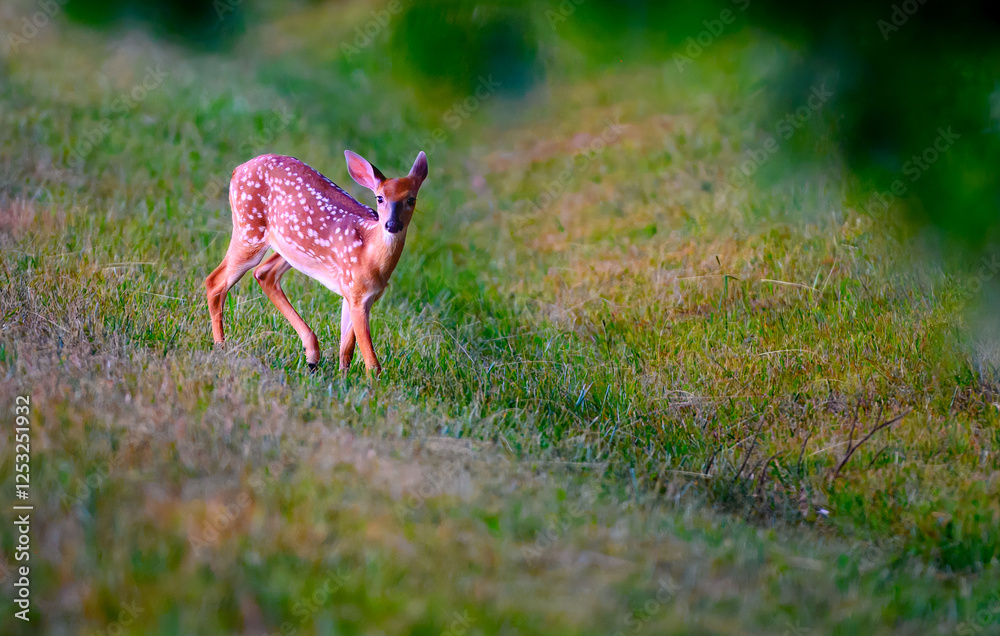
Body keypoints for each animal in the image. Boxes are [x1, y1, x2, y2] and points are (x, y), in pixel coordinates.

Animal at [205, 150, 428, 376]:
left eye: (411, 199)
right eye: (380, 198)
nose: (392, 224)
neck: (369, 252)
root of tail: (237, 170)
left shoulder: (358, 295)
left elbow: (346, 350)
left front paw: (343, 378)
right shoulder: (356, 292)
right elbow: (372, 362)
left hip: (288, 247)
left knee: (264, 273)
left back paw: (312, 356)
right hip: (249, 229)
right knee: (215, 280)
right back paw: (221, 347)